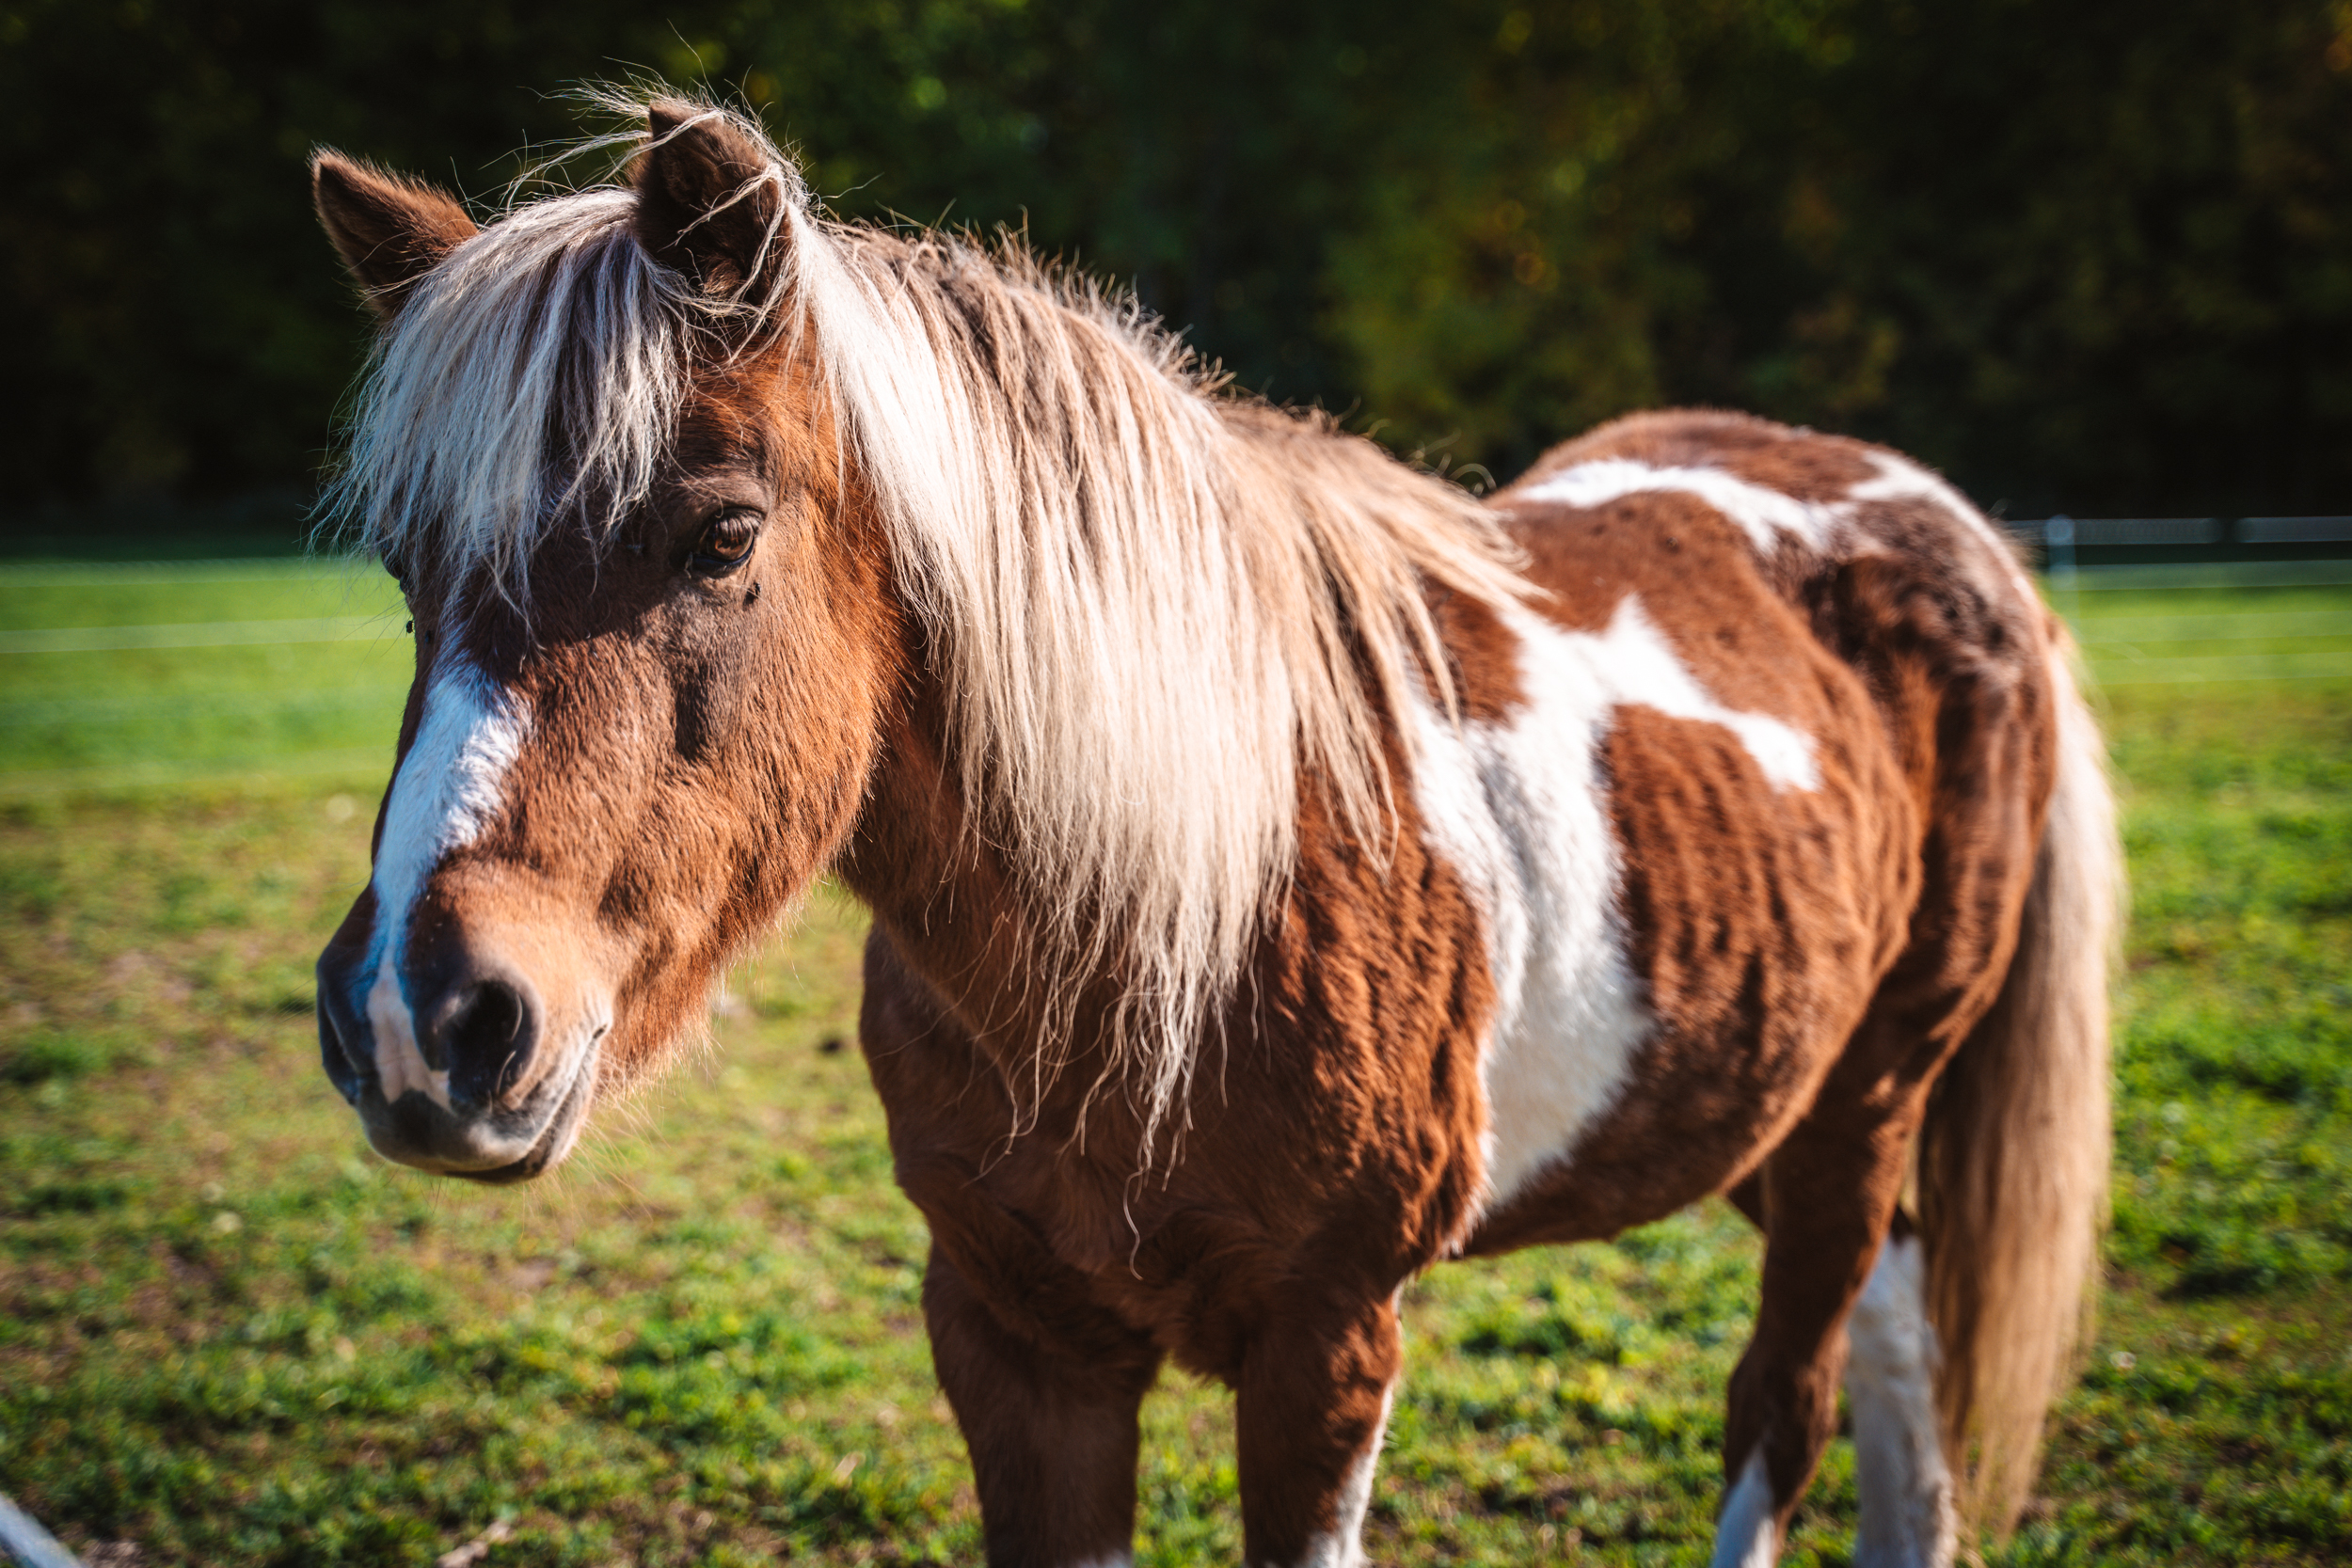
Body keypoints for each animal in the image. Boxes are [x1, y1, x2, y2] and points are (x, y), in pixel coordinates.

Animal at [308, 95, 2117, 1568]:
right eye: (405, 570)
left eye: (722, 534)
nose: (422, 1015)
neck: (1186, 913)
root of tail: (1947, 527)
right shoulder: (1012, 1340)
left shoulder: (1325, 1342)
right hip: (1764, 1101)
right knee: (1898, 1329)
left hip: (1869, 1095)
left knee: (1785, 1402)